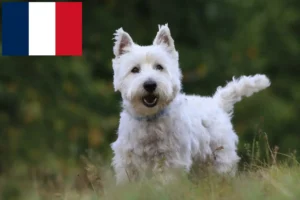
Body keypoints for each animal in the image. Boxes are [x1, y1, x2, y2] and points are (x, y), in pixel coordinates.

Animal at [110, 23, 272, 184]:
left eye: (159, 67)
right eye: (134, 69)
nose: (150, 84)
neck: (150, 119)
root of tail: (216, 102)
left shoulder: (171, 159)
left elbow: (166, 181)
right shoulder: (127, 161)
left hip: (220, 156)